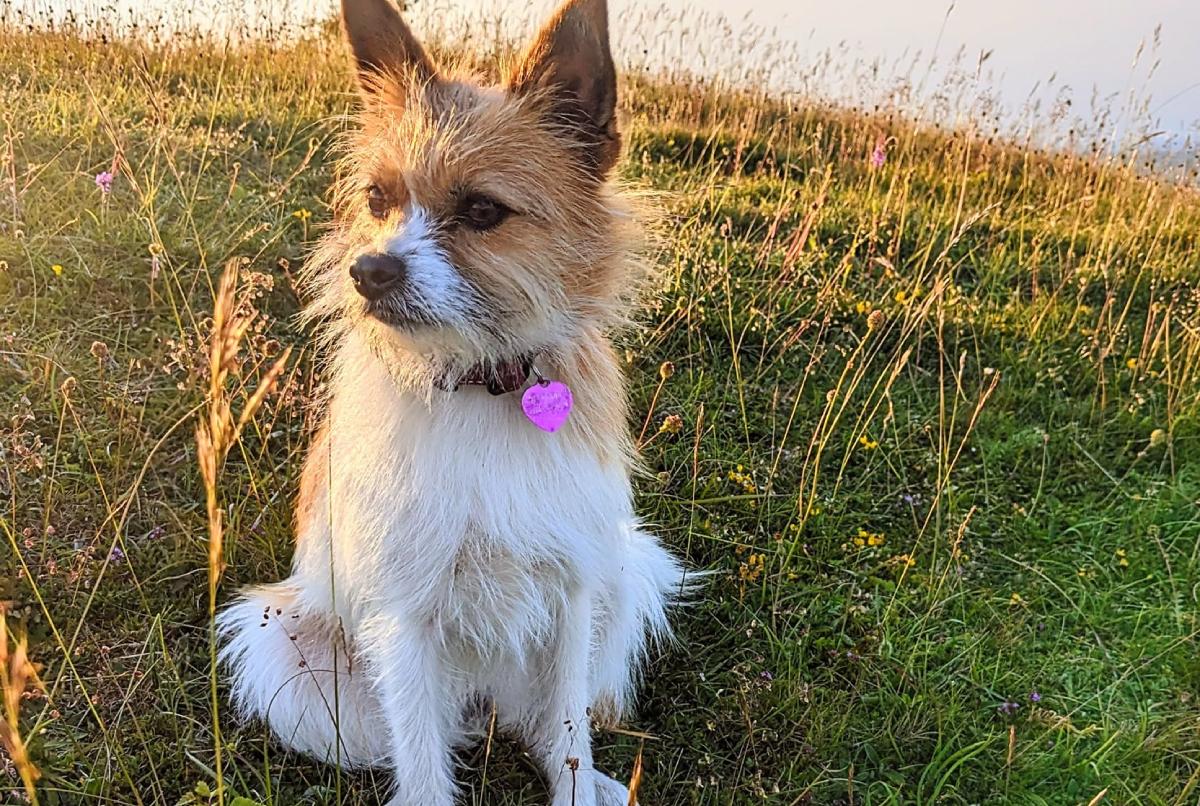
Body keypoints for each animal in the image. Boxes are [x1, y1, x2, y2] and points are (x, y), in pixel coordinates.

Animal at [216, 0, 686, 801]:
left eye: (483, 210)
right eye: (378, 199)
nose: (368, 272)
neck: (478, 380)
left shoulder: (574, 590)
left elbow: (568, 733)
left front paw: (576, 781)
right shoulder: (405, 618)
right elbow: (425, 763)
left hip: (628, 567)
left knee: (544, 723)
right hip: (277, 641)